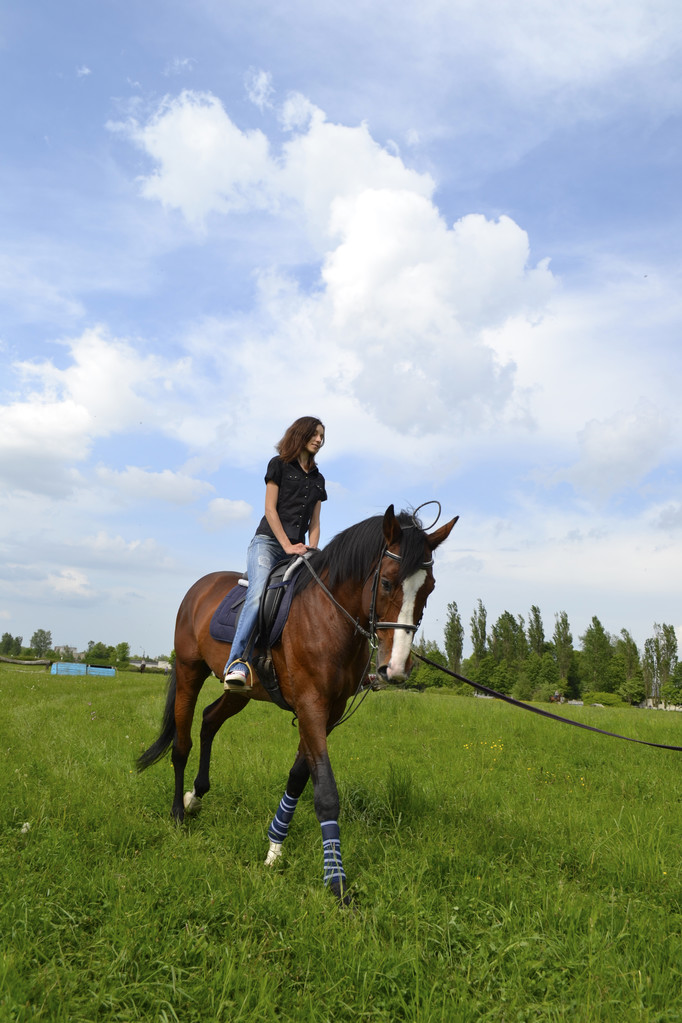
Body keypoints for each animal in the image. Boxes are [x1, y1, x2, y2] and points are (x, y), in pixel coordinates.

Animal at [137, 507, 458, 900]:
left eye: (428, 588)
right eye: (386, 583)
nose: (395, 668)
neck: (328, 617)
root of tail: (200, 588)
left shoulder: (329, 712)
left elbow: (299, 776)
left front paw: (275, 846)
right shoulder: (311, 706)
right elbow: (325, 793)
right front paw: (336, 881)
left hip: (240, 692)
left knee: (210, 719)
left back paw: (195, 797)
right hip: (188, 671)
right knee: (181, 743)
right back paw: (178, 815)